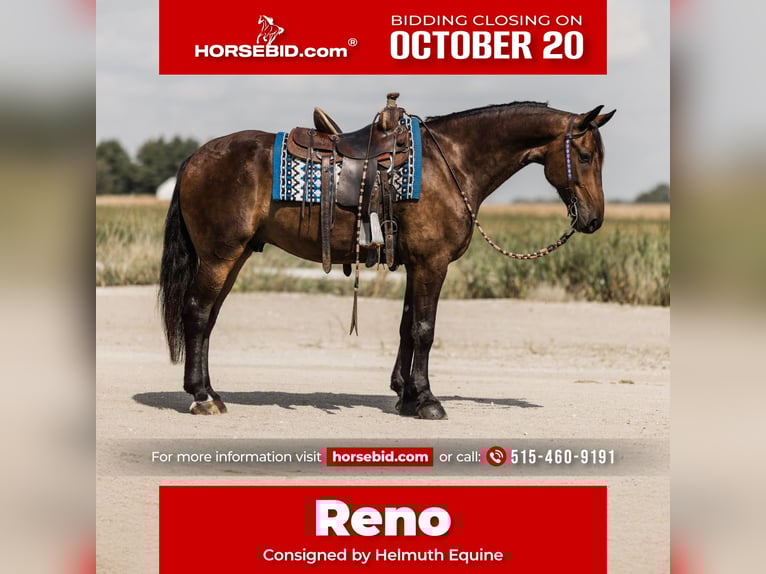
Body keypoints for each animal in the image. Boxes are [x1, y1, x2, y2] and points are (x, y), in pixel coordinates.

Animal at [159, 100, 615, 419]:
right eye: (586, 157)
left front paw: (406, 395)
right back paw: (201, 397)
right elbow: (425, 330)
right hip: (219, 256)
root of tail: (195, 158)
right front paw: (427, 400)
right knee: (197, 313)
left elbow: (406, 328)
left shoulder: (417, 264)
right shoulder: (433, 263)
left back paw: (212, 392)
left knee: (208, 318)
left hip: (233, 257)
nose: (594, 219)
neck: (450, 163)